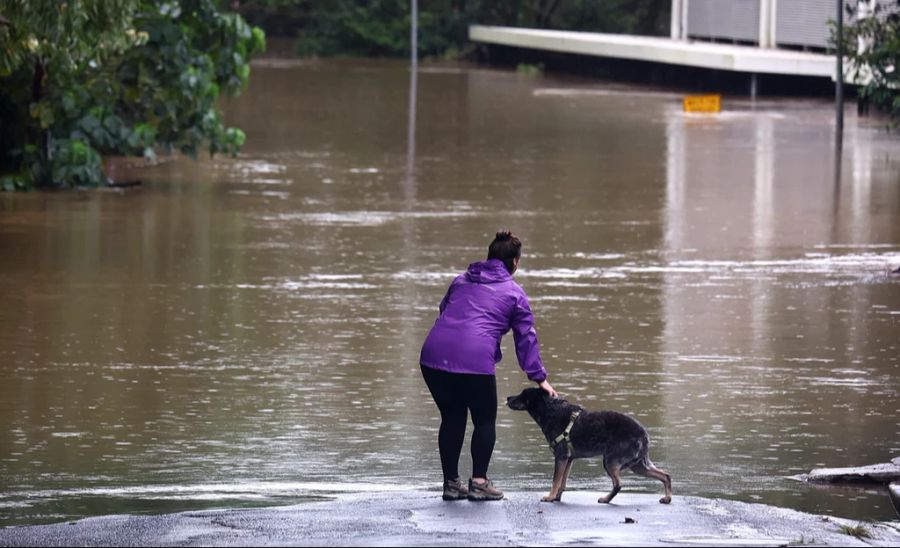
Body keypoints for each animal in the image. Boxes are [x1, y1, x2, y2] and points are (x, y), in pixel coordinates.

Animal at [502, 388, 672, 504]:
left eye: (523, 394)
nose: (508, 397)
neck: (550, 410)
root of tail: (644, 434)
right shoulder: (569, 459)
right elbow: (562, 483)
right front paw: (556, 497)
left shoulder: (561, 456)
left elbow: (555, 480)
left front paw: (550, 497)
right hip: (638, 465)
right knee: (665, 476)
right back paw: (667, 498)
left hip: (610, 461)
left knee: (618, 484)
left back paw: (605, 499)